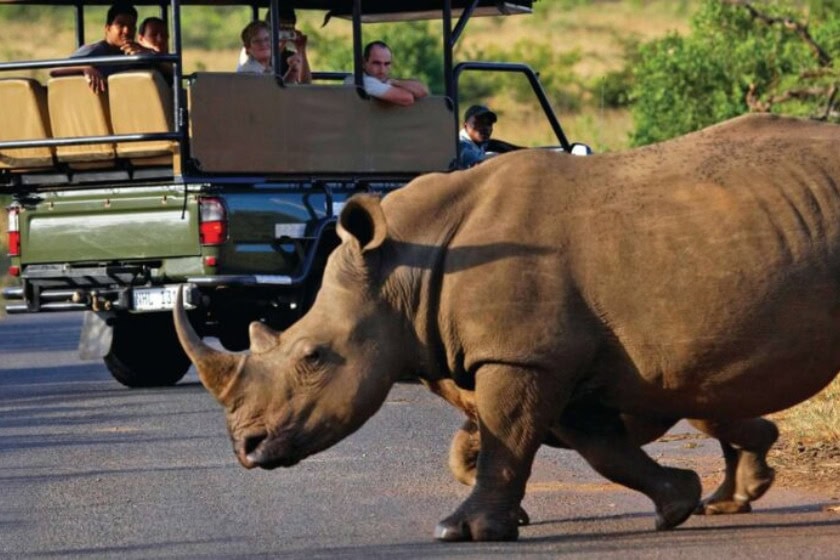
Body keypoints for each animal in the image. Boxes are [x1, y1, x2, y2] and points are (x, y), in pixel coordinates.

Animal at [174, 113, 840, 542]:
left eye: (312, 356)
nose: (246, 449)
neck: (403, 266)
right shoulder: (553, 355)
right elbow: (593, 445)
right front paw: (676, 500)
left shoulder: (524, 355)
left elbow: (509, 437)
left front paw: (461, 531)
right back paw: (730, 497)